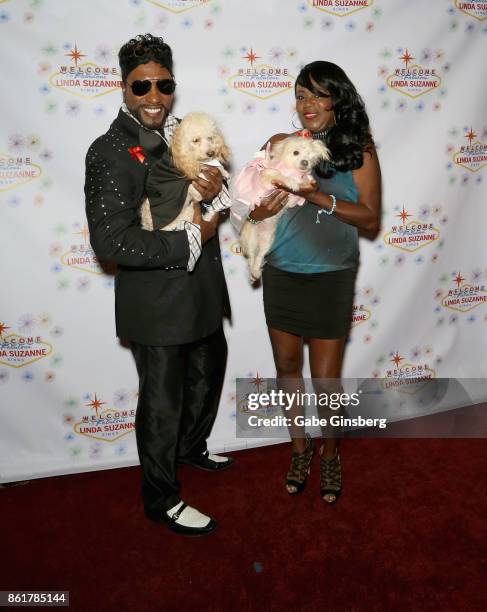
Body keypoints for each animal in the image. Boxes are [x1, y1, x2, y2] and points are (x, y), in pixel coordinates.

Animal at [237, 134, 332, 282]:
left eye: (311, 156)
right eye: (296, 153)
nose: (305, 162)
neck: (292, 170)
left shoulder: (293, 199)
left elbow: (296, 195)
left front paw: (306, 179)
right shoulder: (267, 175)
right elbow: (278, 175)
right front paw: (291, 182)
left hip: (267, 240)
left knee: (259, 255)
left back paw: (256, 271)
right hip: (250, 240)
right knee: (251, 256)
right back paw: (254, 272)